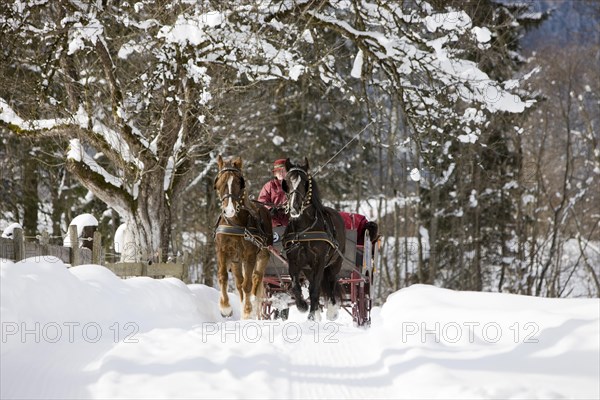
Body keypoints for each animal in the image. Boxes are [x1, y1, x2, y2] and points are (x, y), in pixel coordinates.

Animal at [214, 155, 274, 318]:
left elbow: (248, 284)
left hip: (263, 255)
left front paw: (248, 311)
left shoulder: (250, 255)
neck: (235, 223)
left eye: (238, 183)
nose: (229, 211)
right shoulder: (222, 251)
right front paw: (225, 307)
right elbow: (223, 277)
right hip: (236, 261)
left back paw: (252, 305)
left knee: (255, 278)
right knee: (239, 283)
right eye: (219, 183)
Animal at [280, 158, 344, 320]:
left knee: (331, 283)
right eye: (287, 182)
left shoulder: (320, 261)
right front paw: (303, 306)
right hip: (308, 269)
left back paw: (331, 311)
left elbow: (315, 289)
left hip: (334, 264)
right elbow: (296, 286)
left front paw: (312, 316)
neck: (304, 230)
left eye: (304, 182)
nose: (294, 207)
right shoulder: (294, 261)